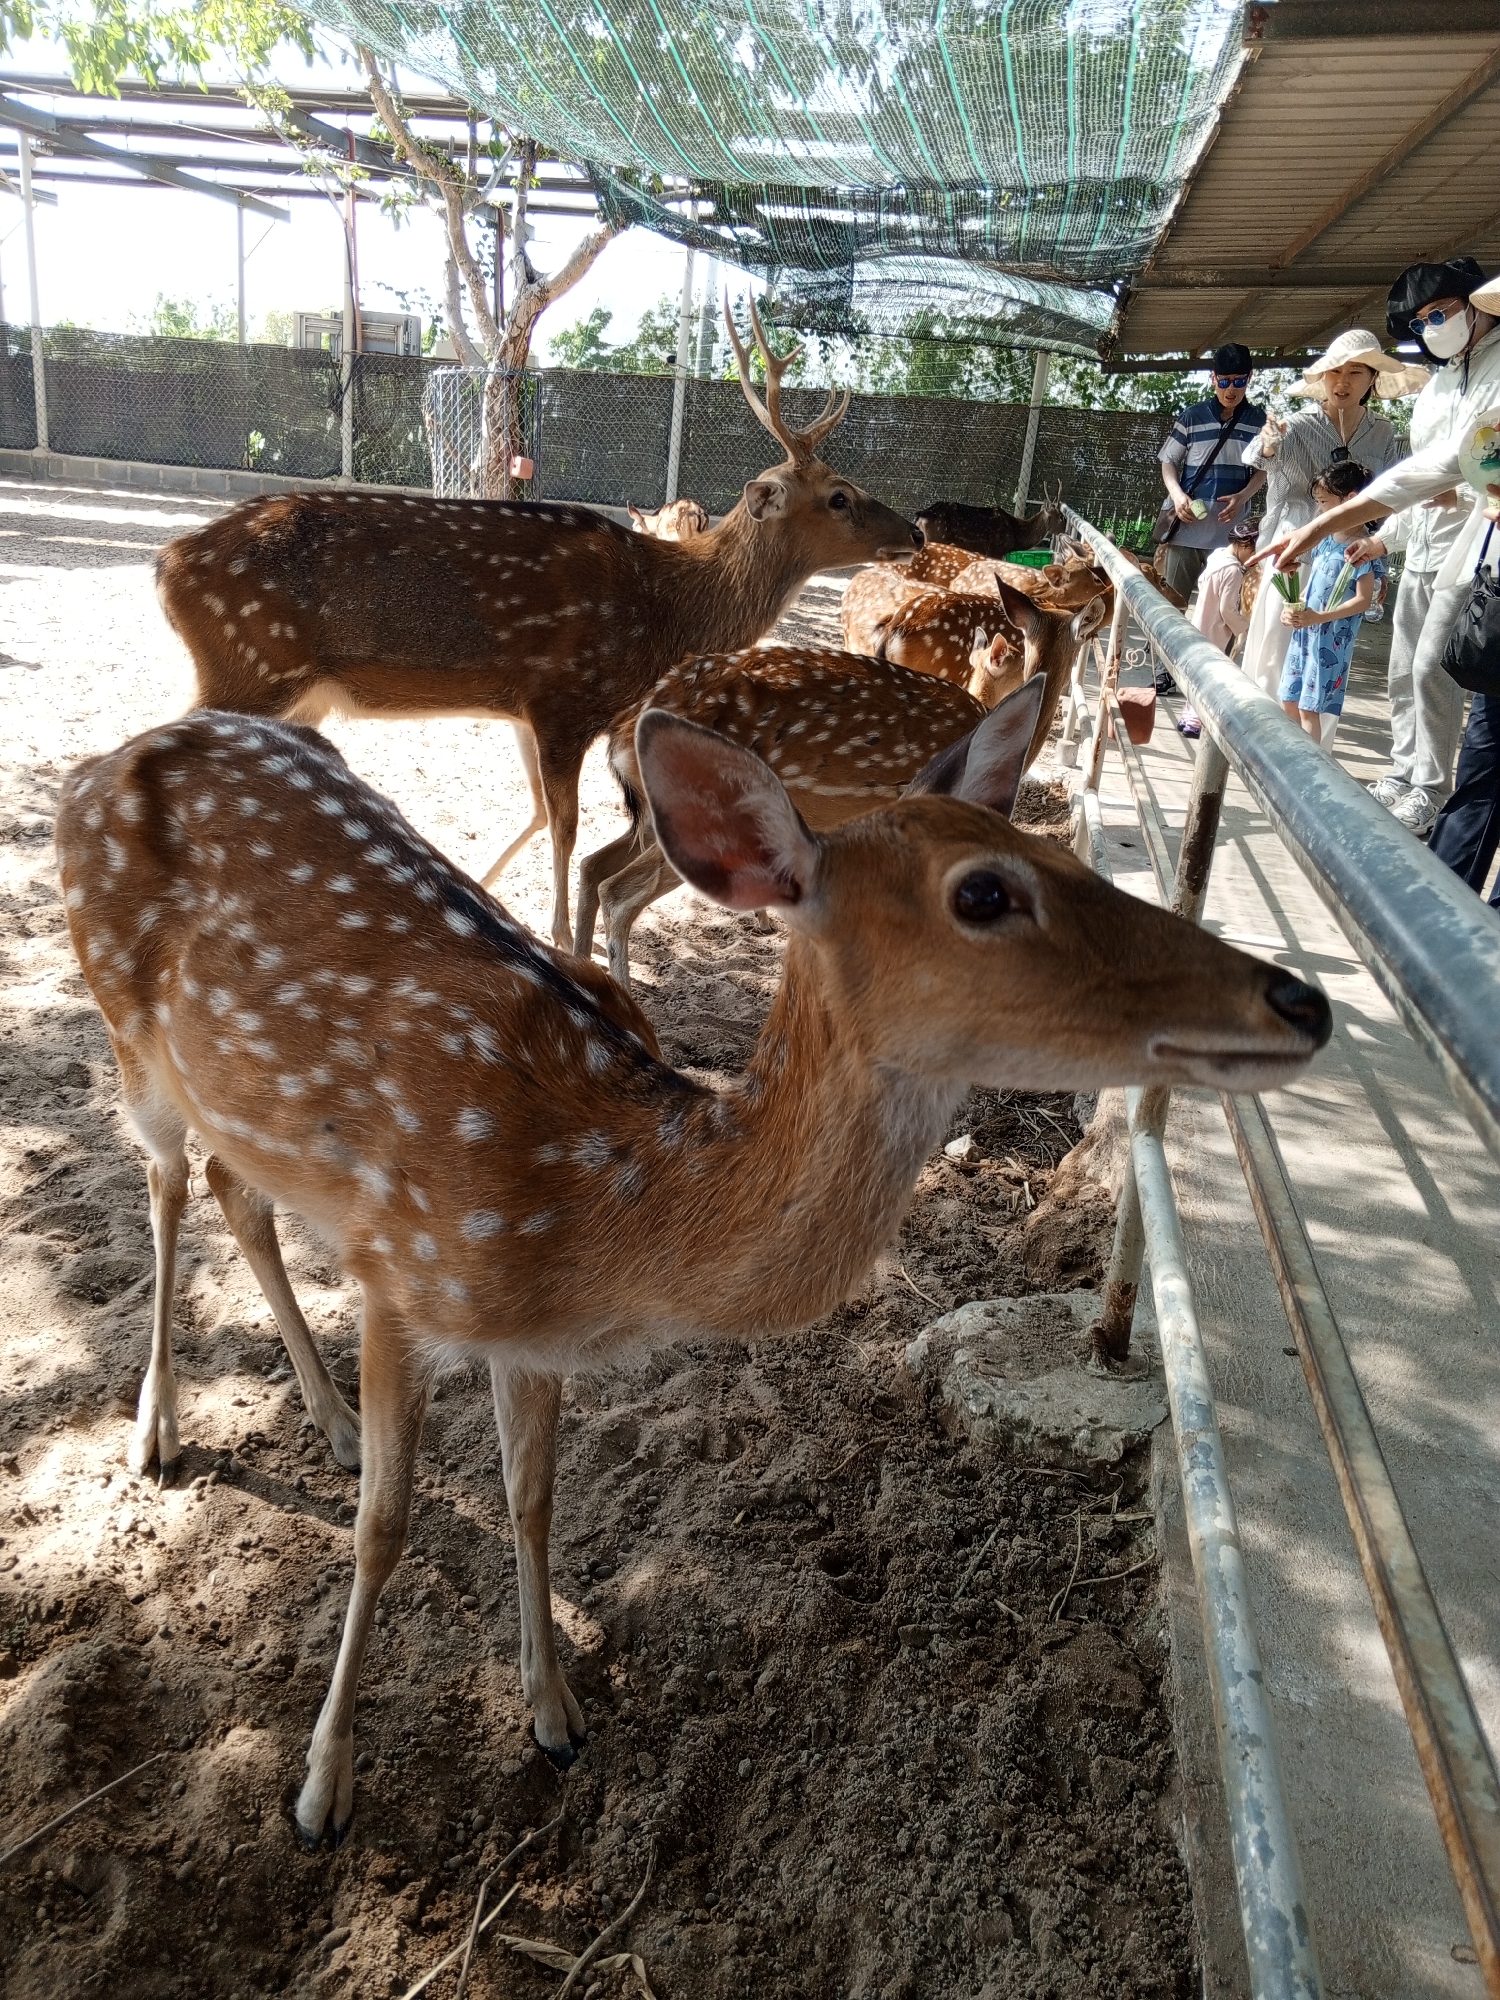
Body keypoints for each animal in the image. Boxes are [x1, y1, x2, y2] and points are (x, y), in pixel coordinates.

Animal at [56, 707, 1331, 1847]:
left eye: (1064, 853)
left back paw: (324, 1421)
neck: (597, 1210)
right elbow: (384, 1525)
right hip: (125, 1030)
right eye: (983, 891)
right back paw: (157, 1430)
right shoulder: (399, 1271)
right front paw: (322, 1789)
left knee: (238, 1190)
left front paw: (556, 1712)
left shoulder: (527, 1336)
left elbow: (533, 1495)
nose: (1302, 998)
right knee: (167, 1183)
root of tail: (100, 760)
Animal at [153, 300, 920, 951]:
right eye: (840, 497)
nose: (913, 530)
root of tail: (167, 565)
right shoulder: (567, 700)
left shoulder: (525, 707)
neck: (667, 613)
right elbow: (567, 828)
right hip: (248, 661)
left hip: (296, 689)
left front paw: (485, 892)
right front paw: (553, 937)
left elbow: (537, 815)